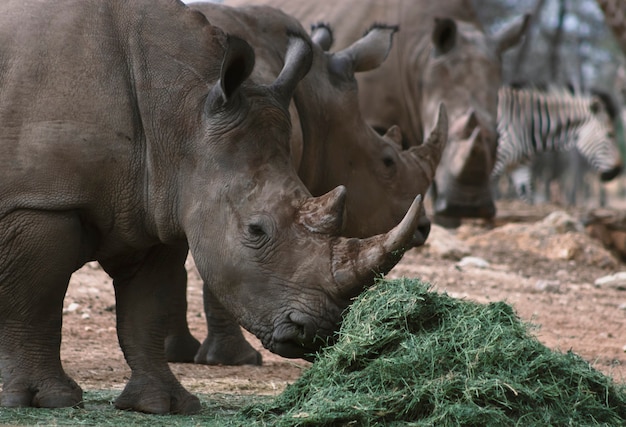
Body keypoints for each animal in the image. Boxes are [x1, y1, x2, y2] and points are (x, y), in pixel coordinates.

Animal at [492, 86, 620, 205]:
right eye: (610, 135)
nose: (618, 170)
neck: (525, 124)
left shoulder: (519, 166)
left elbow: (529, 200)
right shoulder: (496, 159)